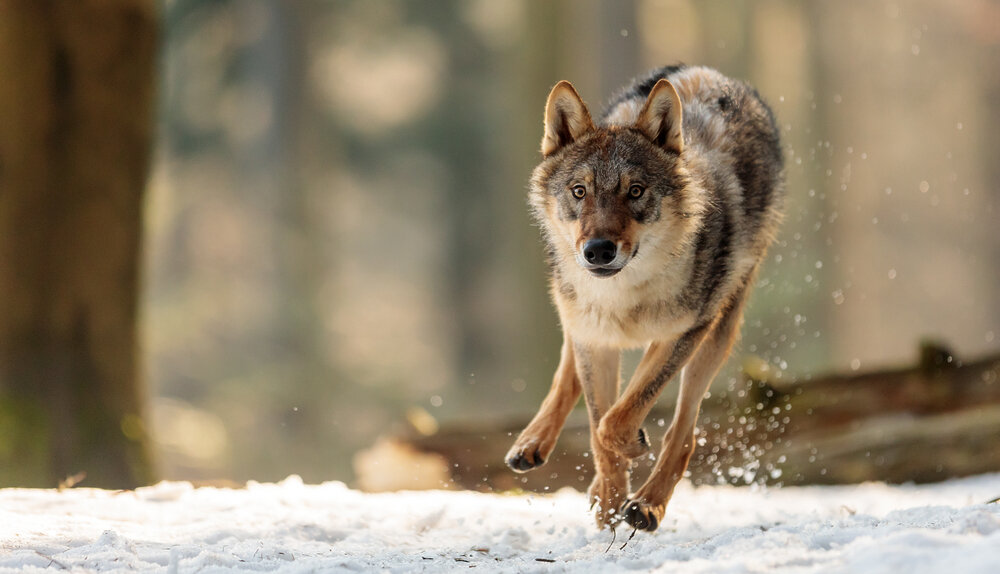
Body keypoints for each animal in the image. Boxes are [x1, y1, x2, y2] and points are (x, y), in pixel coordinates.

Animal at [504, 68, 784, 536]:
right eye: (579, 191)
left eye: (635, 191)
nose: (598, 250)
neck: (623, 297)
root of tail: (706, 72)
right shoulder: (595, 339)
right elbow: (600, 427)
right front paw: (608, 507)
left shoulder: (684, 332)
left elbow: (617, 419)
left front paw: (626, 488)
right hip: (576, 316)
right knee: (568, 373)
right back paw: (533, 444)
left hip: (718, 333)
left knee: (684, 431)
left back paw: (648, 505)